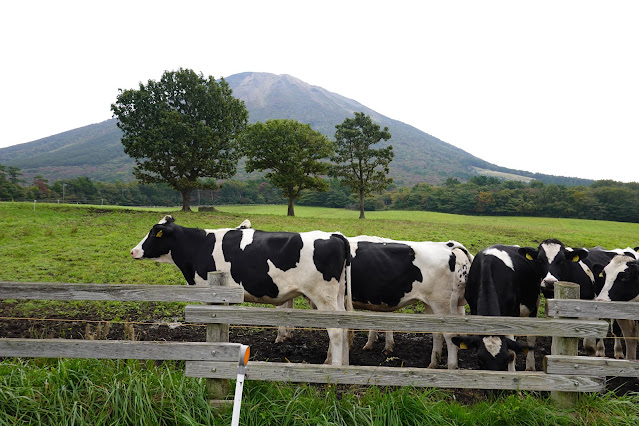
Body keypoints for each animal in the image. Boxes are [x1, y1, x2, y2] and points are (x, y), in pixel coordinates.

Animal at [129, 216, 350, 366]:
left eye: (154, 233)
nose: (133, 251)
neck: (198, 246)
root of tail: (334, 236)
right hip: (338, 295)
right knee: (345, 327)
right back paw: (337, 363)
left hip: (323, 296)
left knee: (336, 330)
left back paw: (334, 368)